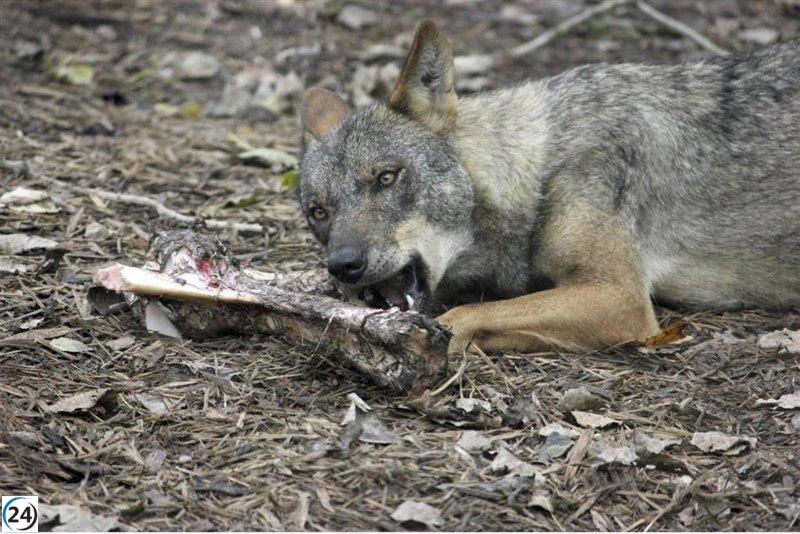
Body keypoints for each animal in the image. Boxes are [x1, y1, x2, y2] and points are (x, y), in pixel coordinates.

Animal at [298, 20, 800, 354]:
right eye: (318, 212)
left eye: (386, 177)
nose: (343, 265)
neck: (539, 170)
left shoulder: (619, 296)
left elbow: (468, 315)